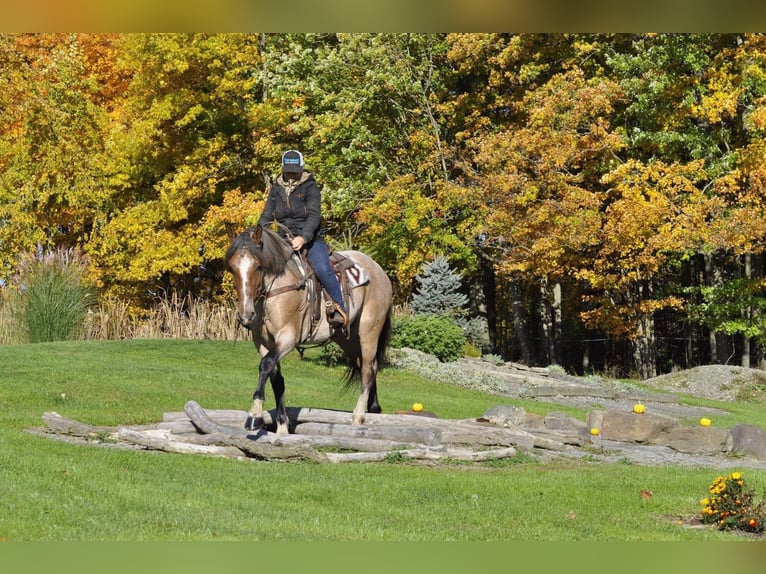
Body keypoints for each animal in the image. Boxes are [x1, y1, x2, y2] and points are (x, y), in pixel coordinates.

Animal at [226, 225, 396, 436]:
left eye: (258, 266)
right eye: (232, 268)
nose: (245, 314)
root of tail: (379, 270)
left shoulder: (288, 337)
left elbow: (265, 365)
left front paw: (254, 416)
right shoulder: (263, 343)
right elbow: (276, 379)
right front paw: (282, 426)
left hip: (369, 332)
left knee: (367, 369)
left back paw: (358, 416)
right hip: (348, 338)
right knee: (367, 365)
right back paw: (373, 409)